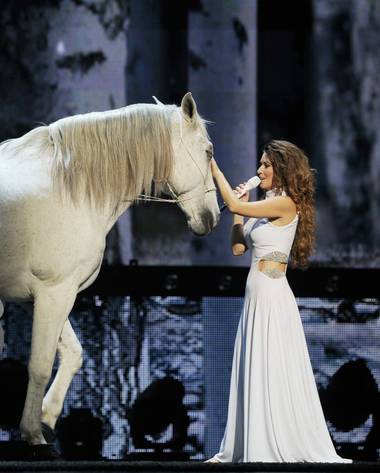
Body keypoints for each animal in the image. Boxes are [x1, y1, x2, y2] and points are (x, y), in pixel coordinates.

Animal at [0, 91, 220, 450]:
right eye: (208, 151)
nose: (212, 217)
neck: (67, 188)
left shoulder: (43, 297)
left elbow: (73, 354)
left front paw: (46, 417)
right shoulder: (53, 293)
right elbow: (40, 364)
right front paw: (33, 433)